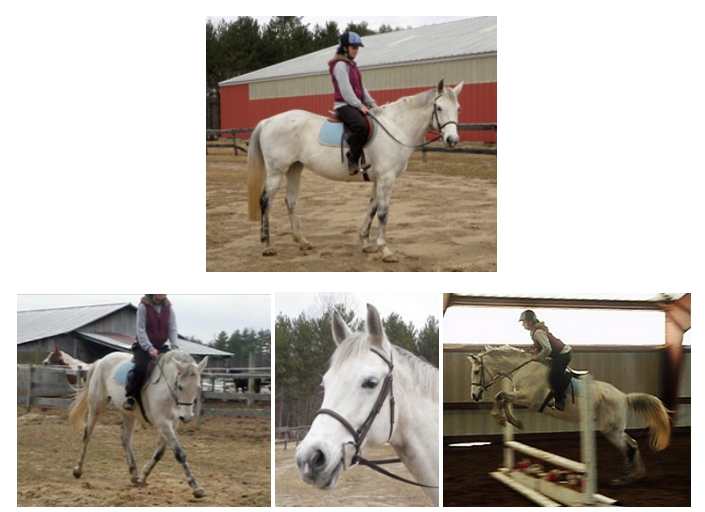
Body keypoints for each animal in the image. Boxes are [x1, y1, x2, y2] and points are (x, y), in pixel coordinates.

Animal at [68, 349, 209, 498]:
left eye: (198, 387)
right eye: (180, 387)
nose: (187, 417)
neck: (168, 389)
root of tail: (101, 360)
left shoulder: (172, 424)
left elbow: (159, 453)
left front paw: (143, 477)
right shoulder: (163, 423)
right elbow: (179, 453)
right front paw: (196, 487)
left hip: (128, 413)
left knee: (125, 439)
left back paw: (134, 474)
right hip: (96, 406)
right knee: (87, 435)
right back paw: (78, 470)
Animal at [247, 79, 464, 263]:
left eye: (458, 108)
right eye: (439, 108)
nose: (452, 140)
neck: (396, 127)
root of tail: (268, 121)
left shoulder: (379, 179)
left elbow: (372, 208)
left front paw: (366, 242)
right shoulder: (387, 178)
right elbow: (383, 212)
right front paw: (385, 250)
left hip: (294, 168)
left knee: (291, 201)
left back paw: (302, 241)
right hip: (276, 170)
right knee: (266, 201)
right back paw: (267, 246)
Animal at [467, 345, 671, 485]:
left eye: (477, 371)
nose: (474, 396)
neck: (522, 368)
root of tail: (624, 397)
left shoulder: (529, 399)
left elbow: (500, 396)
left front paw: (500, 417)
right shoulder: (521, 397)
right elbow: (505, 399)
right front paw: (513, 421)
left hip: (611, 431)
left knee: (628, 448)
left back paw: (623, 479)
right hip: (615, 429)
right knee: (633, 444)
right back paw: (637, 473)